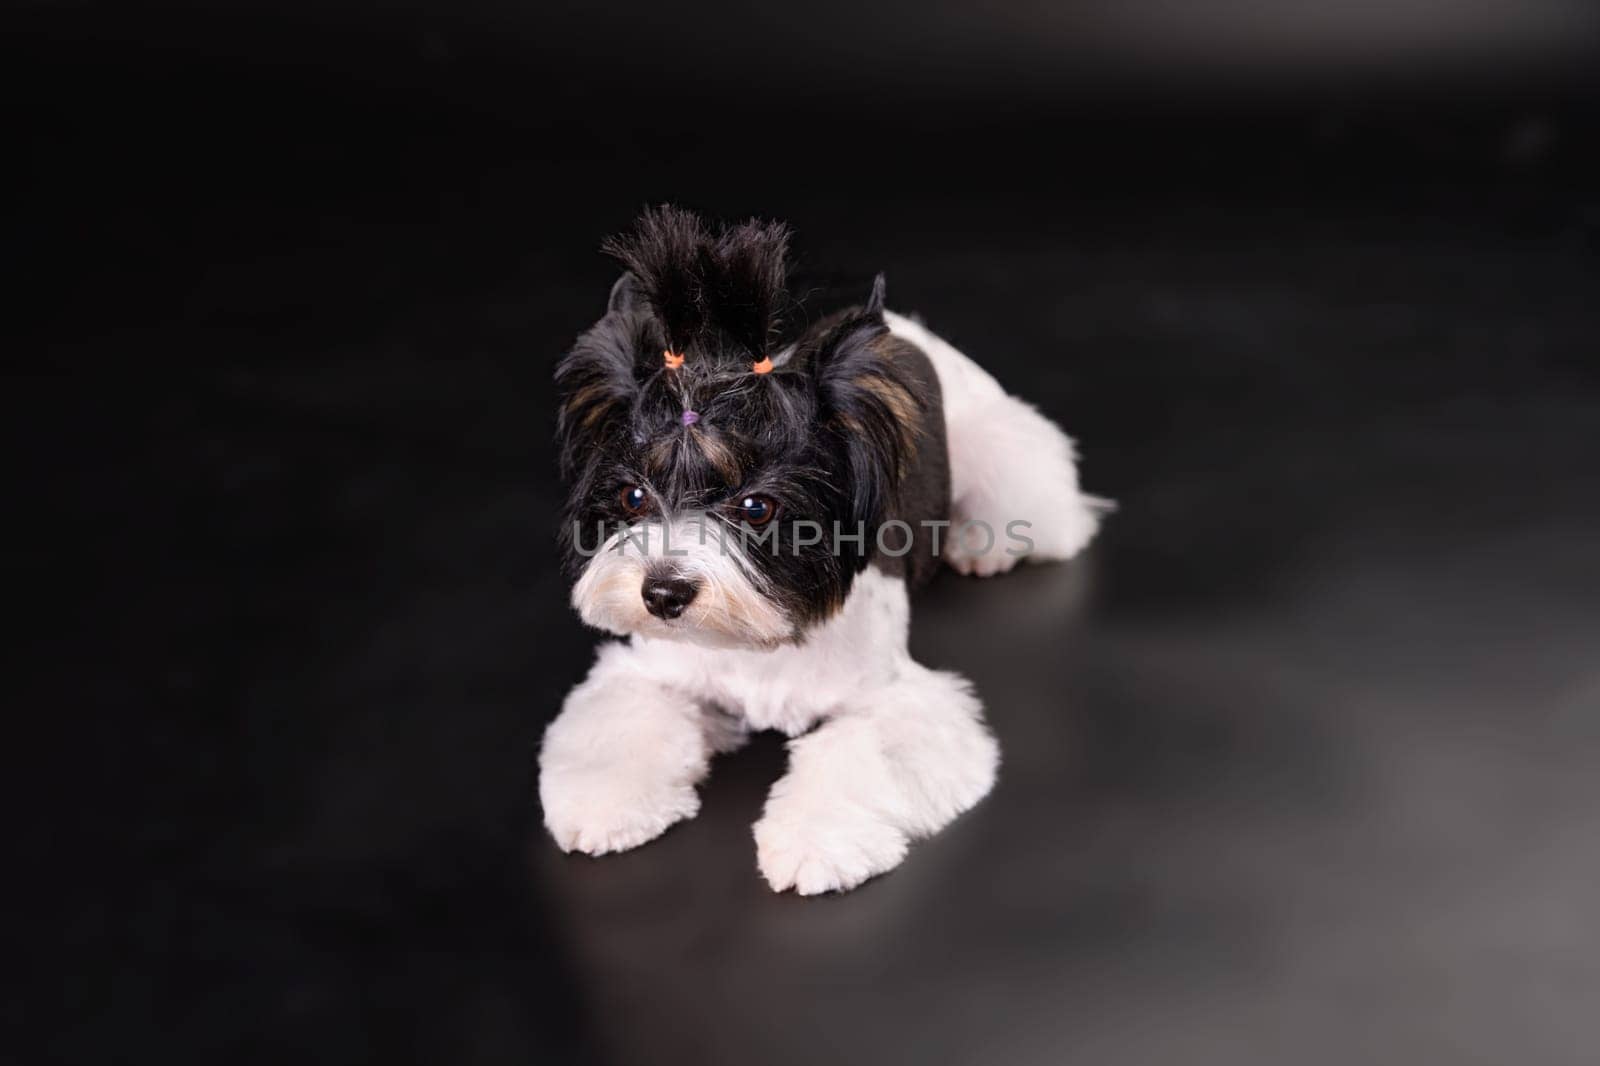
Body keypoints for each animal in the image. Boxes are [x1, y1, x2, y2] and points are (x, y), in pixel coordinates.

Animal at [537, 204, 1100, 889]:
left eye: (757, 506)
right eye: (633, 496)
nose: (663, 593)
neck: (757, 641)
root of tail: (911, 331)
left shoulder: (892, 698)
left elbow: (861, 748)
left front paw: (816, 842)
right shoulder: (651, 673)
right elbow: (622, 721)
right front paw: (606, 804)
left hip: (1002, 451)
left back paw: (982, 545)